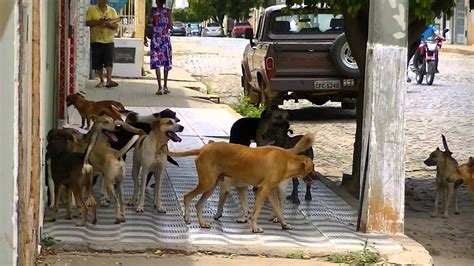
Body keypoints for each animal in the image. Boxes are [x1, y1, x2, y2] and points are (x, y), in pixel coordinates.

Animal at [163, 133, 314, 233]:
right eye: (313, 167)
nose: (316, 176)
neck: (286, 160)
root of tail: (203, 148)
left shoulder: (270, 192)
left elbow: (278, 210)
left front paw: (284, 224)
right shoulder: (263, 190)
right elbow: (255, 213)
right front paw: (254, 227)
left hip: (211, 185)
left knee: (199, 204)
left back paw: (202, 223)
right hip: (207, 183)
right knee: (187, 196)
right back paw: (187, 217)